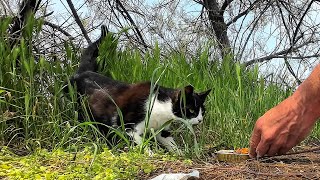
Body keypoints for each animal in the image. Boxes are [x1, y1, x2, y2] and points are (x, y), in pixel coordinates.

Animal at [66, 26, 211, 154]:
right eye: (191, 110)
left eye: (202, 111)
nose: (200, 120)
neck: (161, 109)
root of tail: (83, 72)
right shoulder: (127, 125)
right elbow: (141, 143)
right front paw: (150, 154)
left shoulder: (161, 130)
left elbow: (170, 142)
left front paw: (182, 154)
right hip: (81, 110)